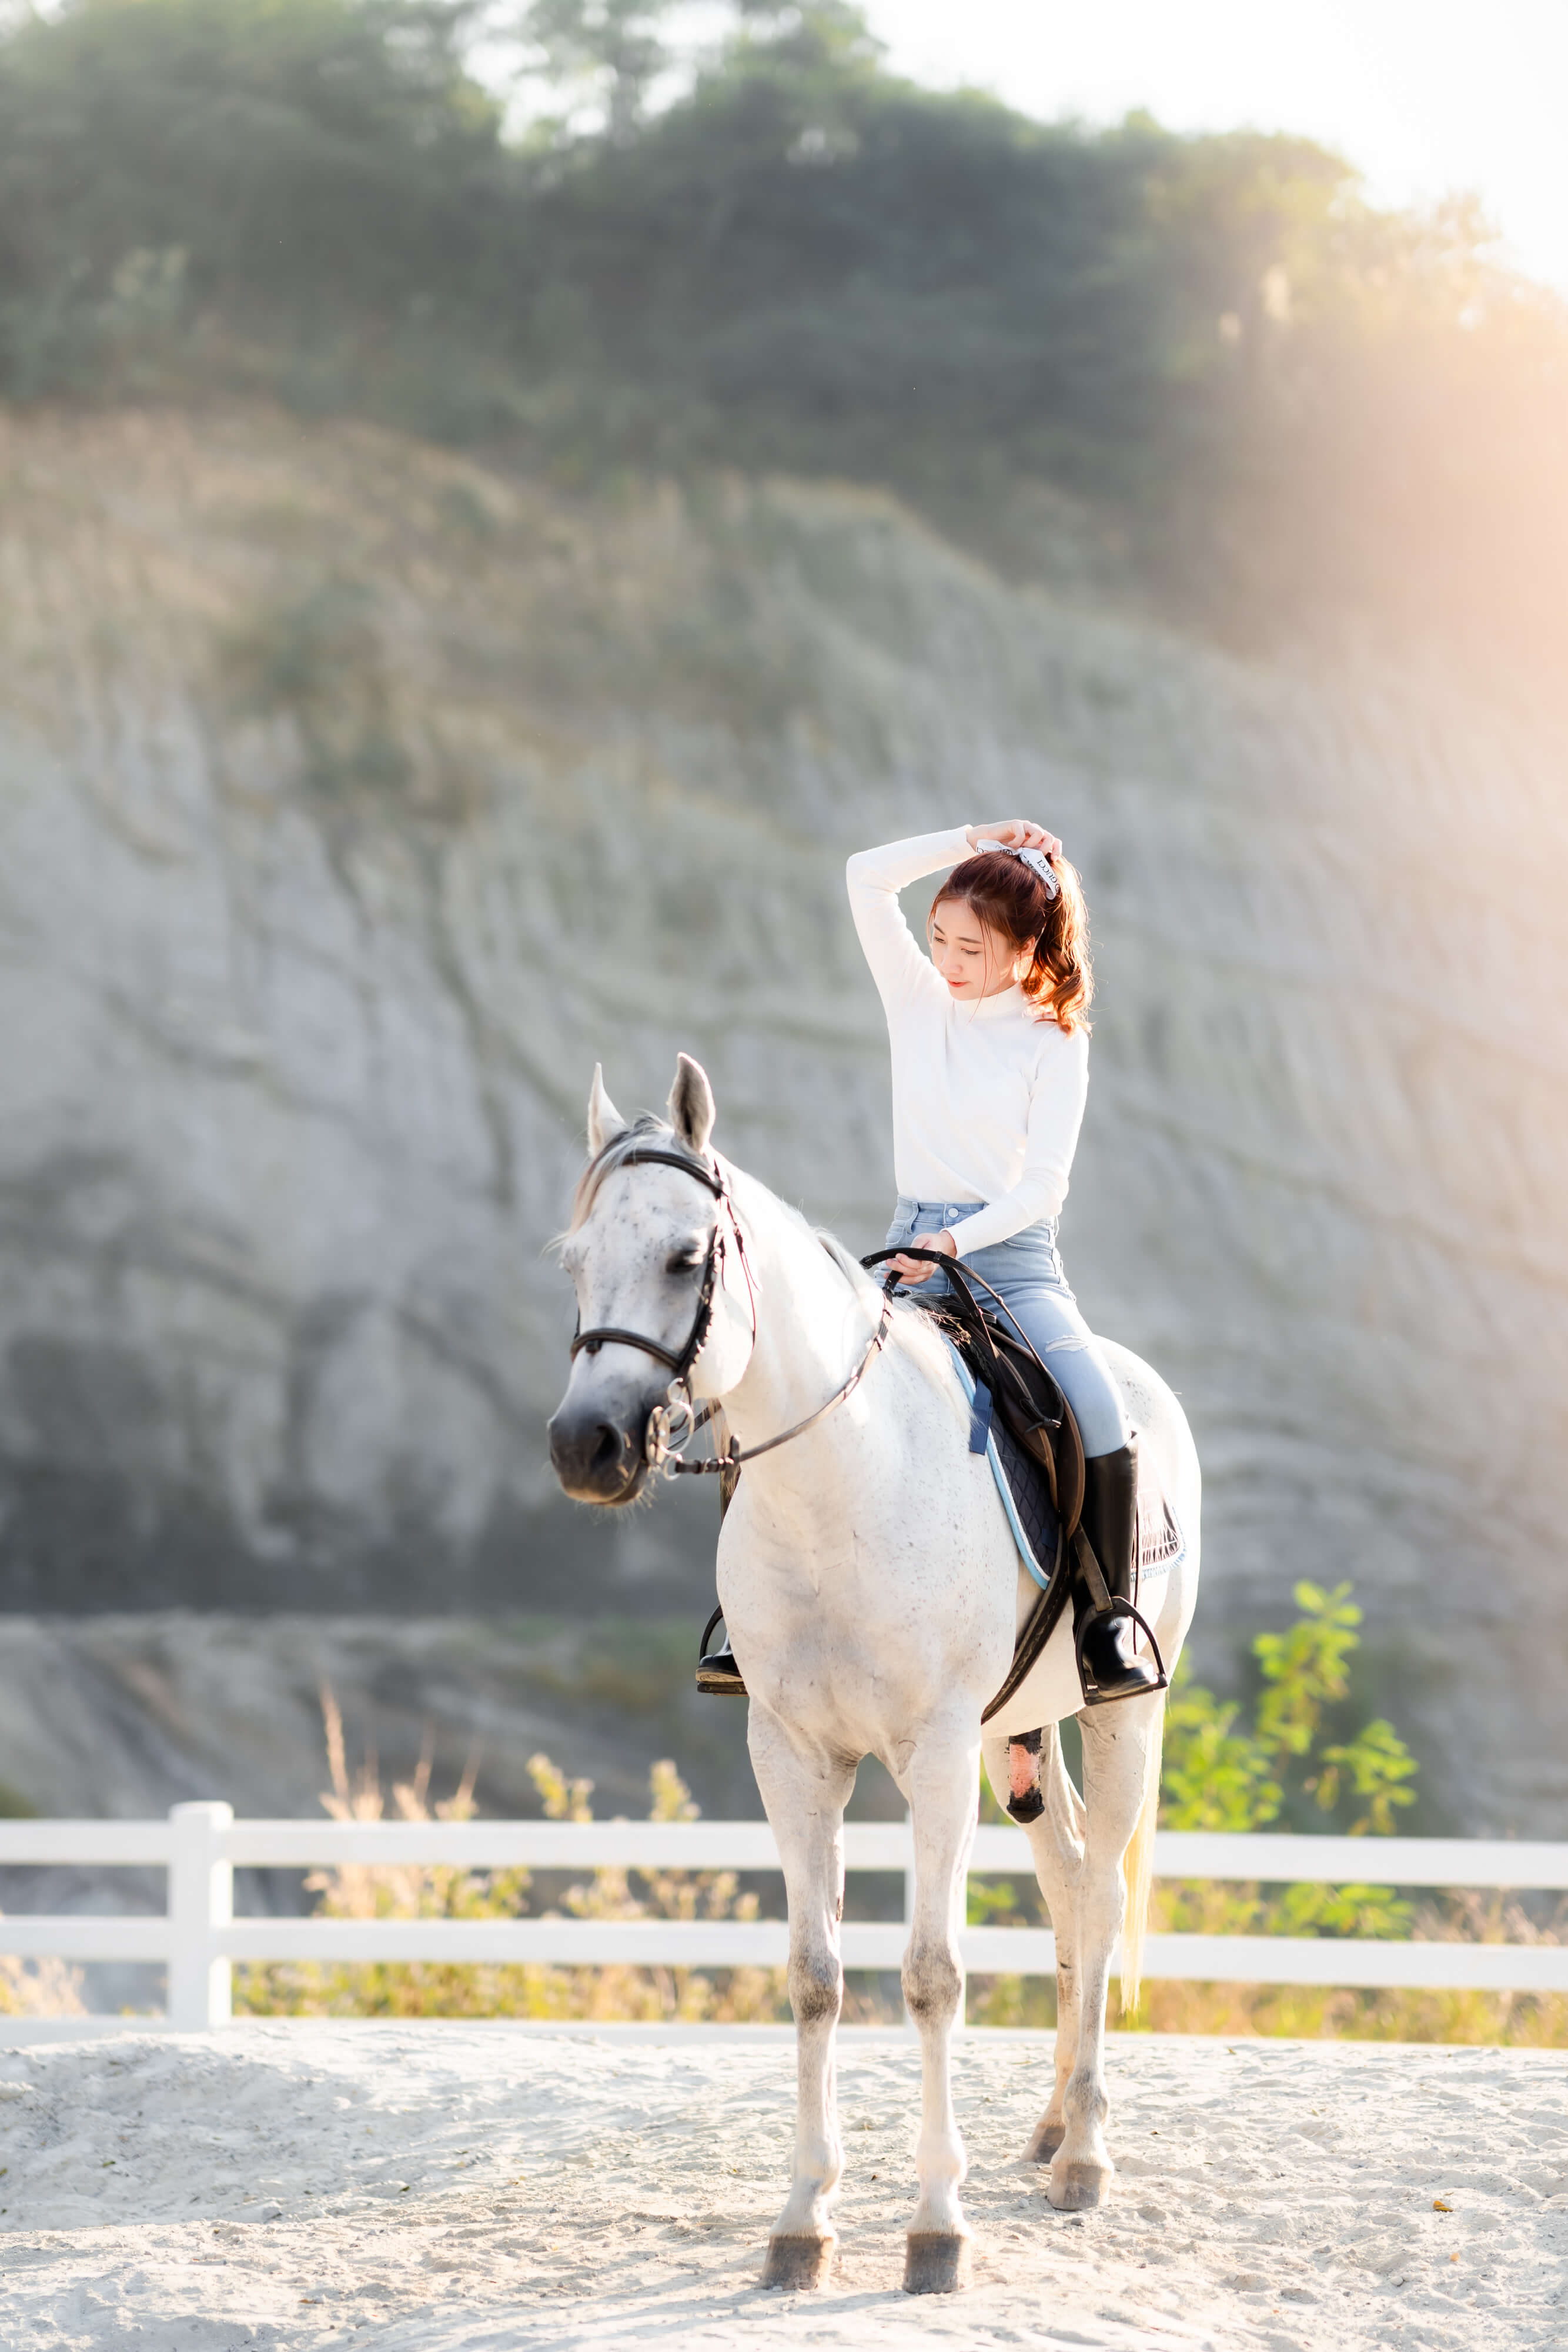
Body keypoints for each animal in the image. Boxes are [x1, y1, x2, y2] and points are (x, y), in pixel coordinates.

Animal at [547, 1053, 1200, 2295]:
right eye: (574, 1260)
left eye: (688, 1258)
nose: (584, 1448)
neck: (839, 1487)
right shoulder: (793, 1755)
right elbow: (815, 1976)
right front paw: (803, 2219)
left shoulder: (932, 1756)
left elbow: (933, 1974)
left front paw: (935, 2226)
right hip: (1015, 1737)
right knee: (1067, 1882)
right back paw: (1052, 2120)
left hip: (1117, 1721)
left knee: (1100, 1894)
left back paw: (1083, 2153)